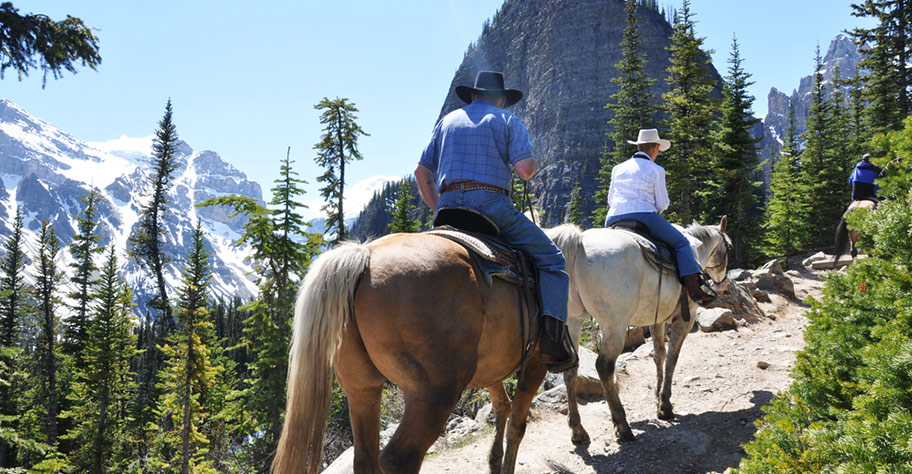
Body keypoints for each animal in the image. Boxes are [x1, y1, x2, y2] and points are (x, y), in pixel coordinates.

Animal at [270, 233, 548, 474]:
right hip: (434, 393)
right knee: (399, 459)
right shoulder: (536, 361)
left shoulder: (494, 367)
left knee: (366, 459)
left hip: (361, 388)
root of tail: (365, 256)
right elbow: (517, 425)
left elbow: (503, 406)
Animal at [544, 217, 732, 442]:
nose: (723, 284)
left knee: (571, 369)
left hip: (572, 321)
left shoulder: (656, 319)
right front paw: (665, 405)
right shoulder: (684, 319)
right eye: (729, 248)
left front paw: (658, 399)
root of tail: (579, 242)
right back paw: (622, 426)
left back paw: (578, 430)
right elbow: (672, 358)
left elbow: (659, 355)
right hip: (614, 325)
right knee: (604, 366)